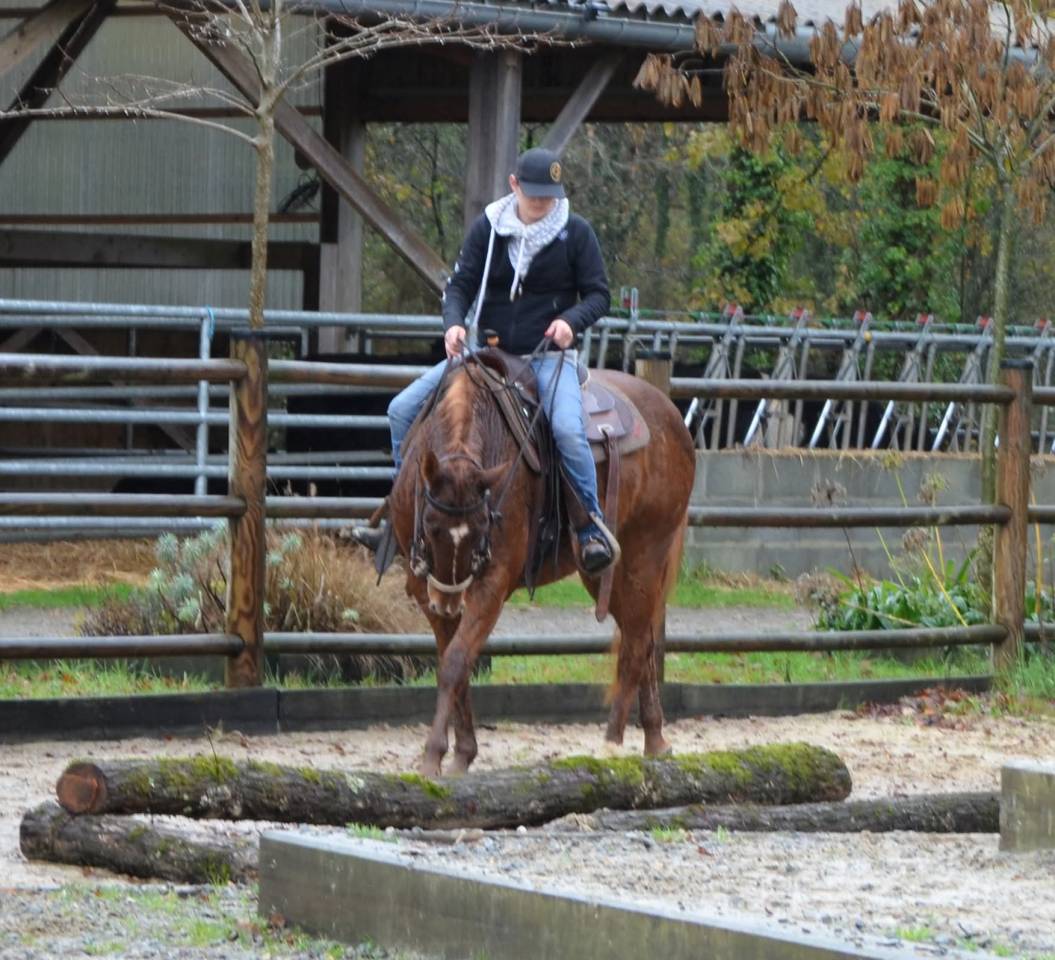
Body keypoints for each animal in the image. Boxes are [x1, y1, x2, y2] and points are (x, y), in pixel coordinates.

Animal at [387, 352, 696, 776]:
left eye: (484, 526)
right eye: (431, 525)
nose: (449, 602)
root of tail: (670, 414)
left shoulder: (492, 583)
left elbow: (455, 663)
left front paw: (434, 757)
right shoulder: (425, 588)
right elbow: (454, 663)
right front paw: (463, 753)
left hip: (644, 556)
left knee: (634, 646)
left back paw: (612, 743)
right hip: (605, 574)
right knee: (644, 640)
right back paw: (655, 739)